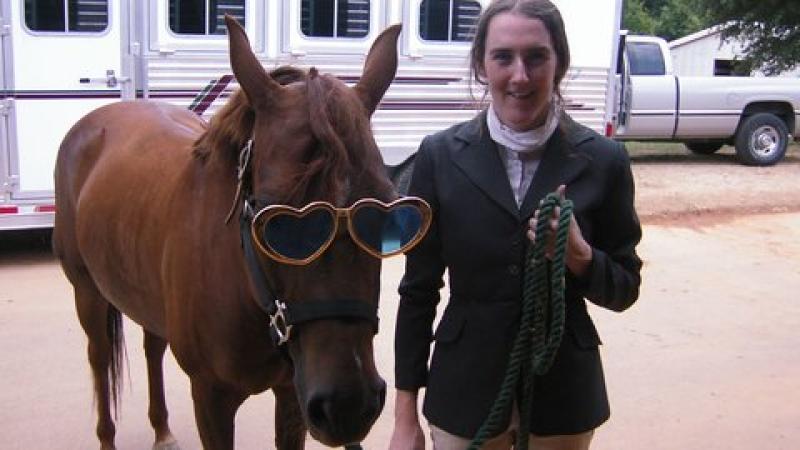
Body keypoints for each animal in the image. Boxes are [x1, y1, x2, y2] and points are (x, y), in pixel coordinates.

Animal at [53, 15, 404, 448]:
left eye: (384, 210)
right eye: (274, 220)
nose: (348, 406)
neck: (243, 283)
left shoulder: (291, 394)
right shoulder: (211, 398)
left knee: (153, 346)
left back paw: (162, 429)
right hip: (86, 291)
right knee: (99, 356)